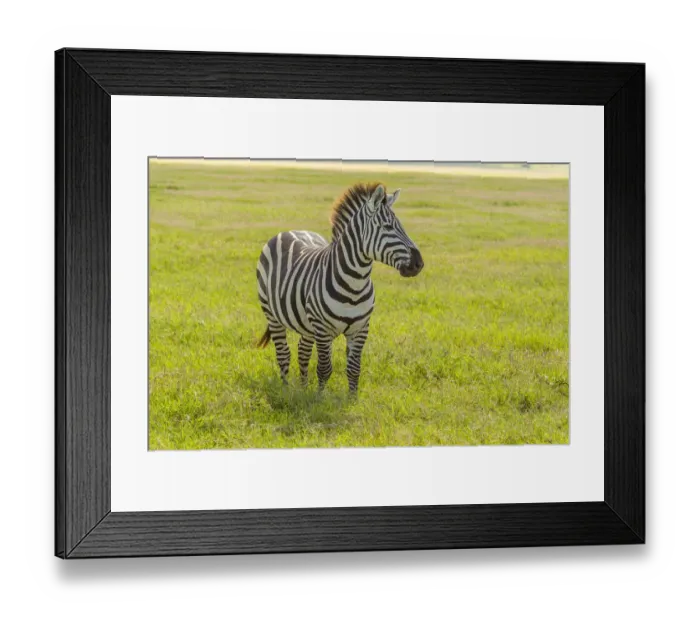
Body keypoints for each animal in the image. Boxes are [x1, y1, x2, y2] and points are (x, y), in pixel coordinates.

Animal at [256, 182, 423, 394]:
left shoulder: (360, 329)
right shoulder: (322, 329)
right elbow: (324, 368)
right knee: (284, 354)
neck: (355, 285)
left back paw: (302, 388)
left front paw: (352, 398)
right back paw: (286, 390)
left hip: (306, 323)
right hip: (272, 314)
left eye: (401, 226)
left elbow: (354, 368)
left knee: (303, 351)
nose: (419, 263)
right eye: (387, 227)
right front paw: (319, 397)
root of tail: (290, 231)